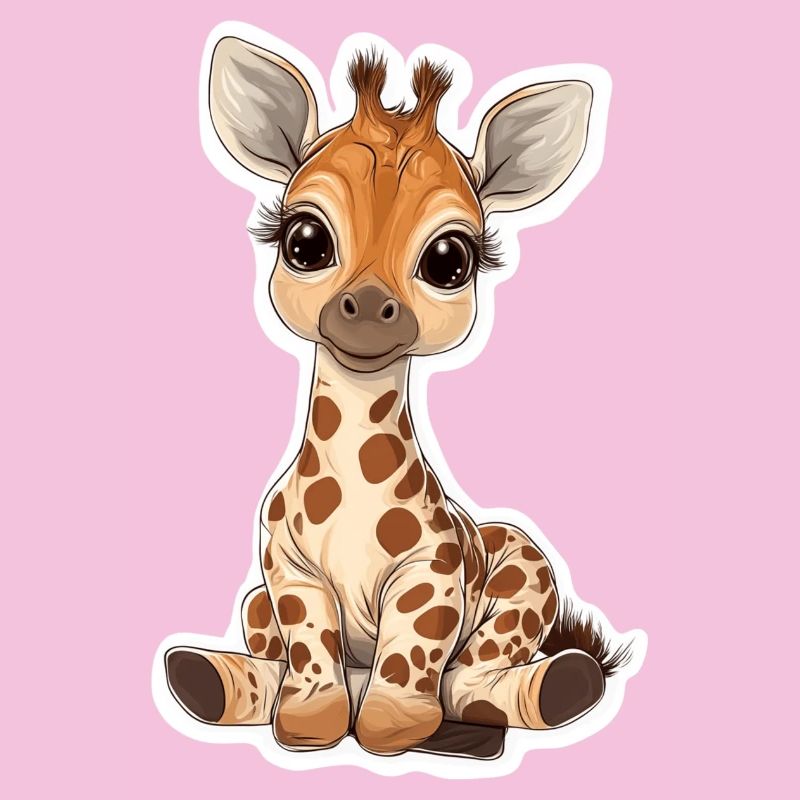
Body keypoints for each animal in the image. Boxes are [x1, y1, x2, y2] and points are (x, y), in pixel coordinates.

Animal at [164, 36, 630, 759]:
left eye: (450, 259)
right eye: (304, 241)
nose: (367, 308)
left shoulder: (429, 571)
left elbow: (413, 651)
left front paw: (393, 727)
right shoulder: (288, 571)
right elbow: (311, 648)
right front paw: (311, 723)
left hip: (526, 570)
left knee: (476, 676)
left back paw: (549, 689)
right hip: (255, 603)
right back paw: (203, 677)